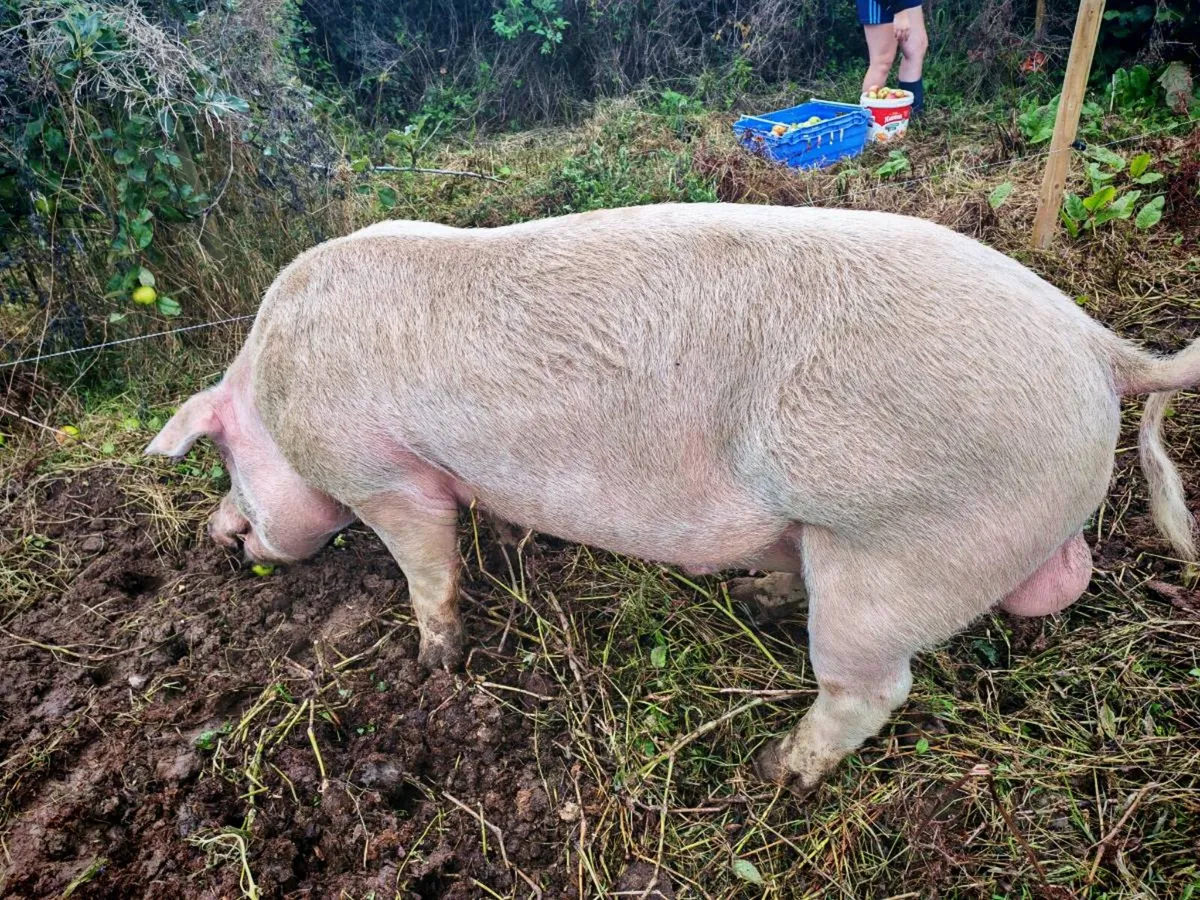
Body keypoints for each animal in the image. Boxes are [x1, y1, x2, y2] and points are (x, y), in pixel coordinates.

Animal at [145, 203, 1200, 795]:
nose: (222, 534)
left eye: (227, 463)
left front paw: (436, 663)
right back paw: (761, 599)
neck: (271, 382)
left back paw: (773, 772)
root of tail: (1101, 348)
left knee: (871, 689)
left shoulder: (383, 474)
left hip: (899, 549)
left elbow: (426, 563)